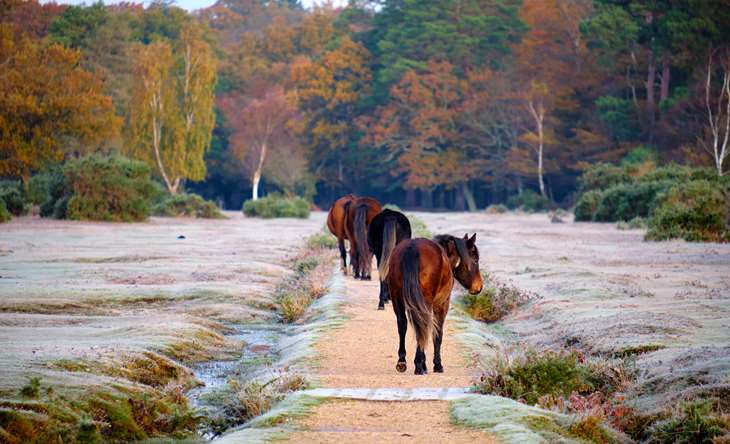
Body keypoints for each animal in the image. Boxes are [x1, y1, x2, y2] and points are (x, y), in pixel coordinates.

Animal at [386, 233, 483, 375]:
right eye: (475, 259)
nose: (479, 287)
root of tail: (412, 248)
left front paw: (424, 363)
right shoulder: (442, 305)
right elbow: (437, 333)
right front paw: (436, 364)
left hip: (397, 298)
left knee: (403, 324)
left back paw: (402, 362)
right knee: (422, 326)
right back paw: (418, 365)